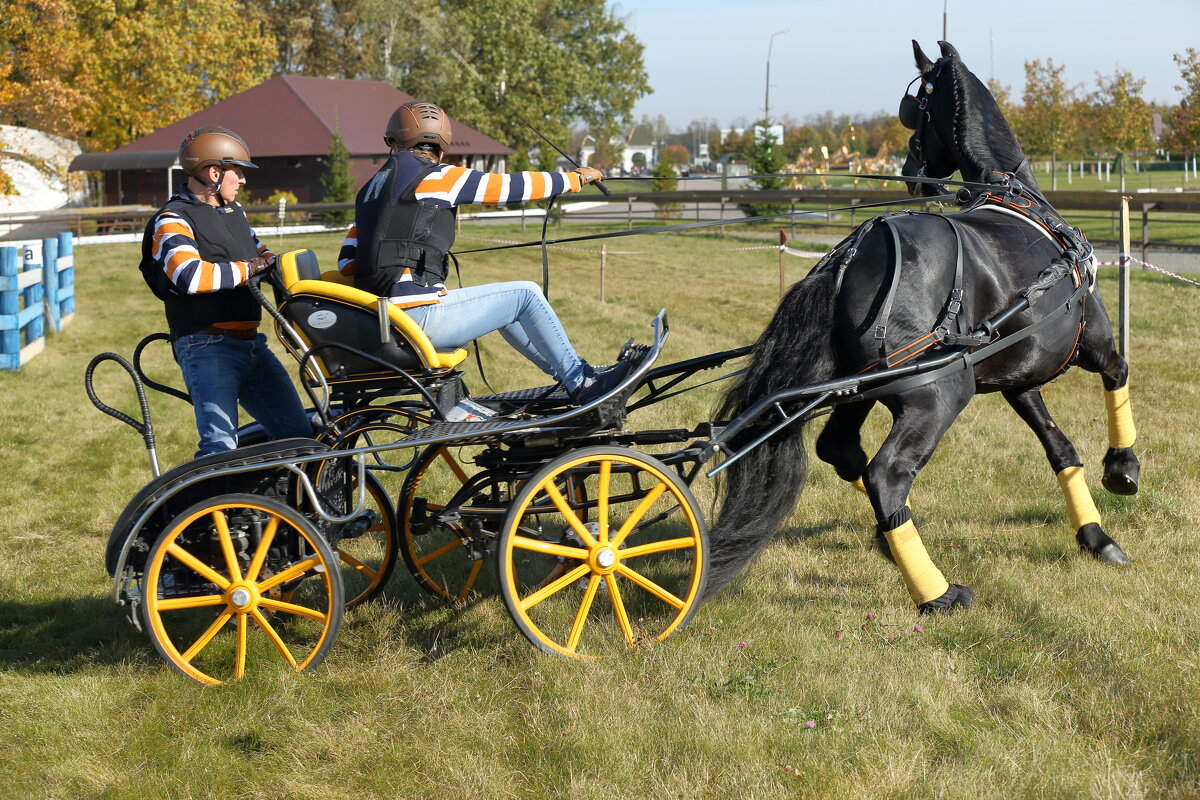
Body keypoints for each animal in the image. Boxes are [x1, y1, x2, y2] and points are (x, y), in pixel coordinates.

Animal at [705, 38, 1137, 614]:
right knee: (885, 472)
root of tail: (853, 254)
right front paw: (1123, 468)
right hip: (938, 392)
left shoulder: (1019, 376)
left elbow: (1060, 449)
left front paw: (1094, 535)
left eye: (916, 111)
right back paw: (937, 591)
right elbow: (1118, 372)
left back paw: (891, 542)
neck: (1015, 194)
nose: (912, 171)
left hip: (859, 386)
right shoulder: (1093, 342)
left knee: (842, 451)